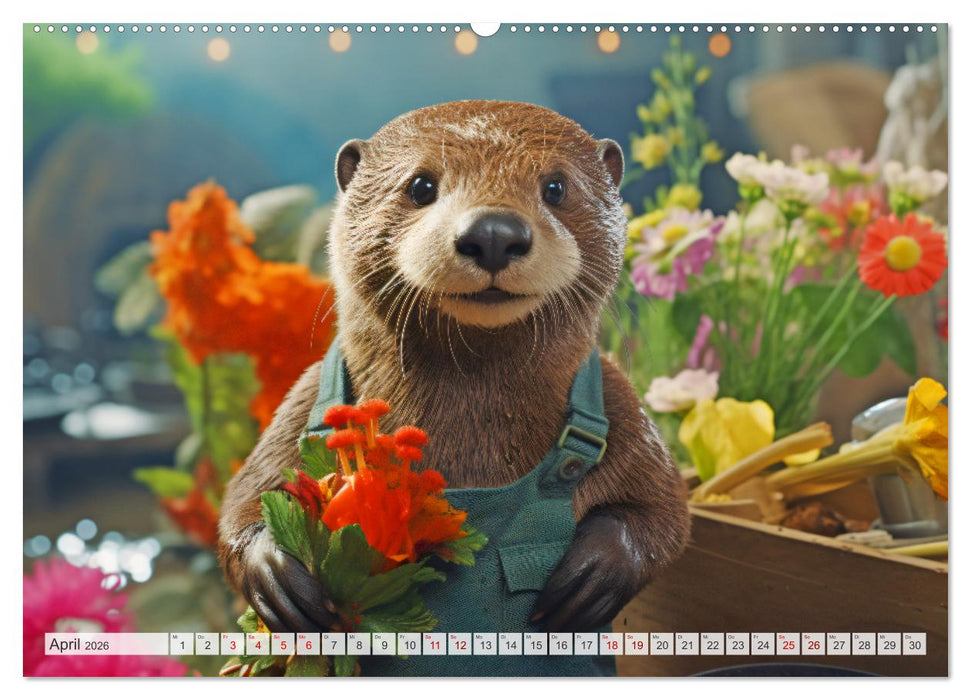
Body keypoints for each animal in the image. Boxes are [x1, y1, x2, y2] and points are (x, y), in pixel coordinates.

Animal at [218, 100, 690, 643]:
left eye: (556, 187)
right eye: (421, 185)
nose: (494, 232)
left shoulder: (622, 404)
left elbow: (666, 512)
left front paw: (596, 574)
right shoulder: (300, 403)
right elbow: (245, 499)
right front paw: (278, 576)